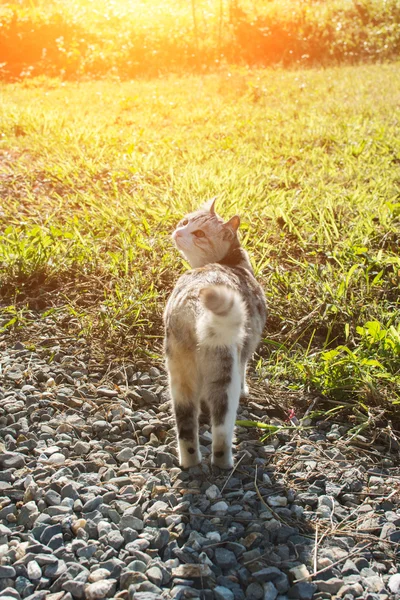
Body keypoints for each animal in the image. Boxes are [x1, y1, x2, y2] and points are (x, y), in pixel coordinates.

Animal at [162, 199, 266, 472]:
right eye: (186, 222)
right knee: (221, 428)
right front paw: (246, 390)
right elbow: (245, 372)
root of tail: (193, 304)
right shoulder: (245, 353)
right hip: (225, 373)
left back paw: (190, 462)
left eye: (198, 233)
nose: (179, 232)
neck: (233, 261)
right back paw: (224, 462)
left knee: (186, 428)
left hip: (179, 375)